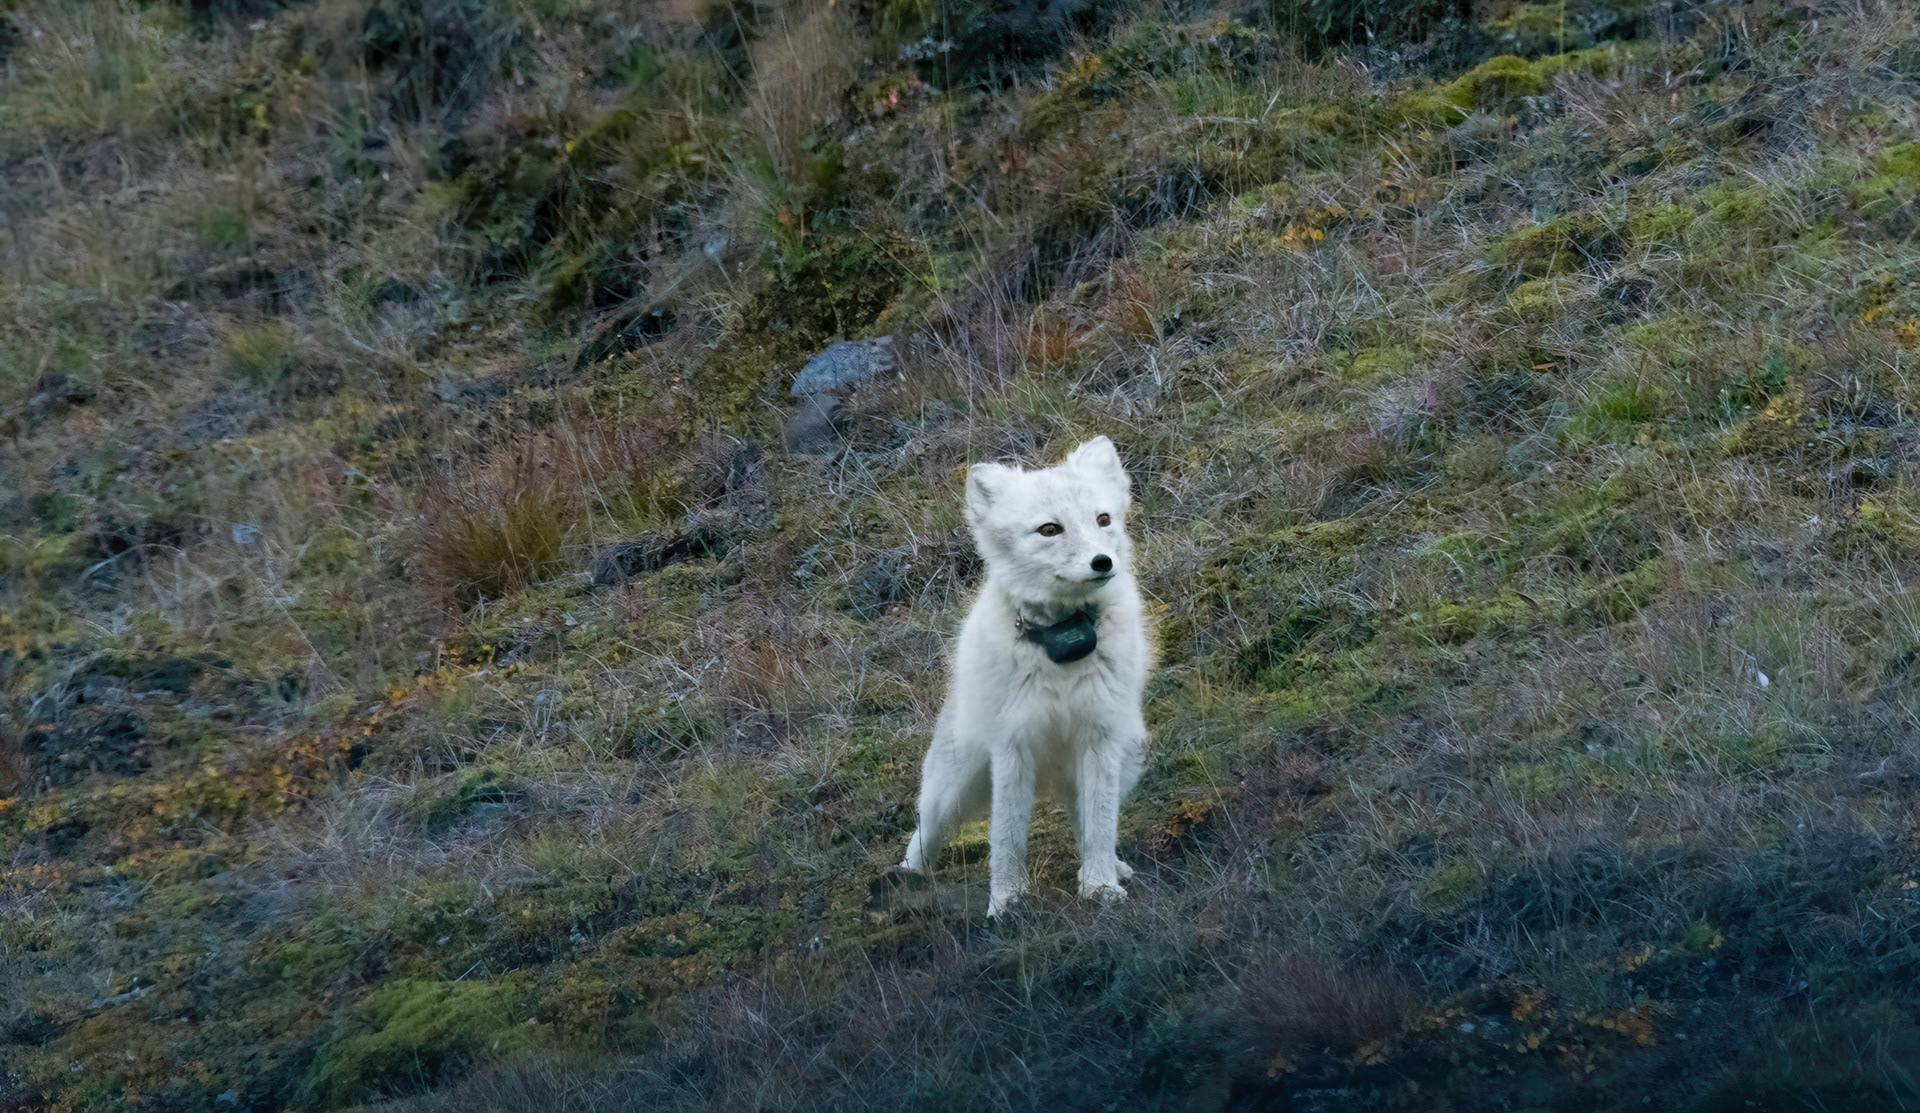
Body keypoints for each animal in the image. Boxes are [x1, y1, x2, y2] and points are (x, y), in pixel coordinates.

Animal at [900, 436, 1150, 916]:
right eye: (1050, 530)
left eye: (1103, 520)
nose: (1103, 561)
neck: (1063, 639)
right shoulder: (1012, 746)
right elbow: (1007, 834)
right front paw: (1007, 901)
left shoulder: (1099, 738)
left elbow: (1099, 825)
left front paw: (1100, 886)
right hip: (954, 786)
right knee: (922, 834)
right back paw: (903, 879)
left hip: (1122, 756)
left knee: (1085, 818)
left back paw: (1109, 869)